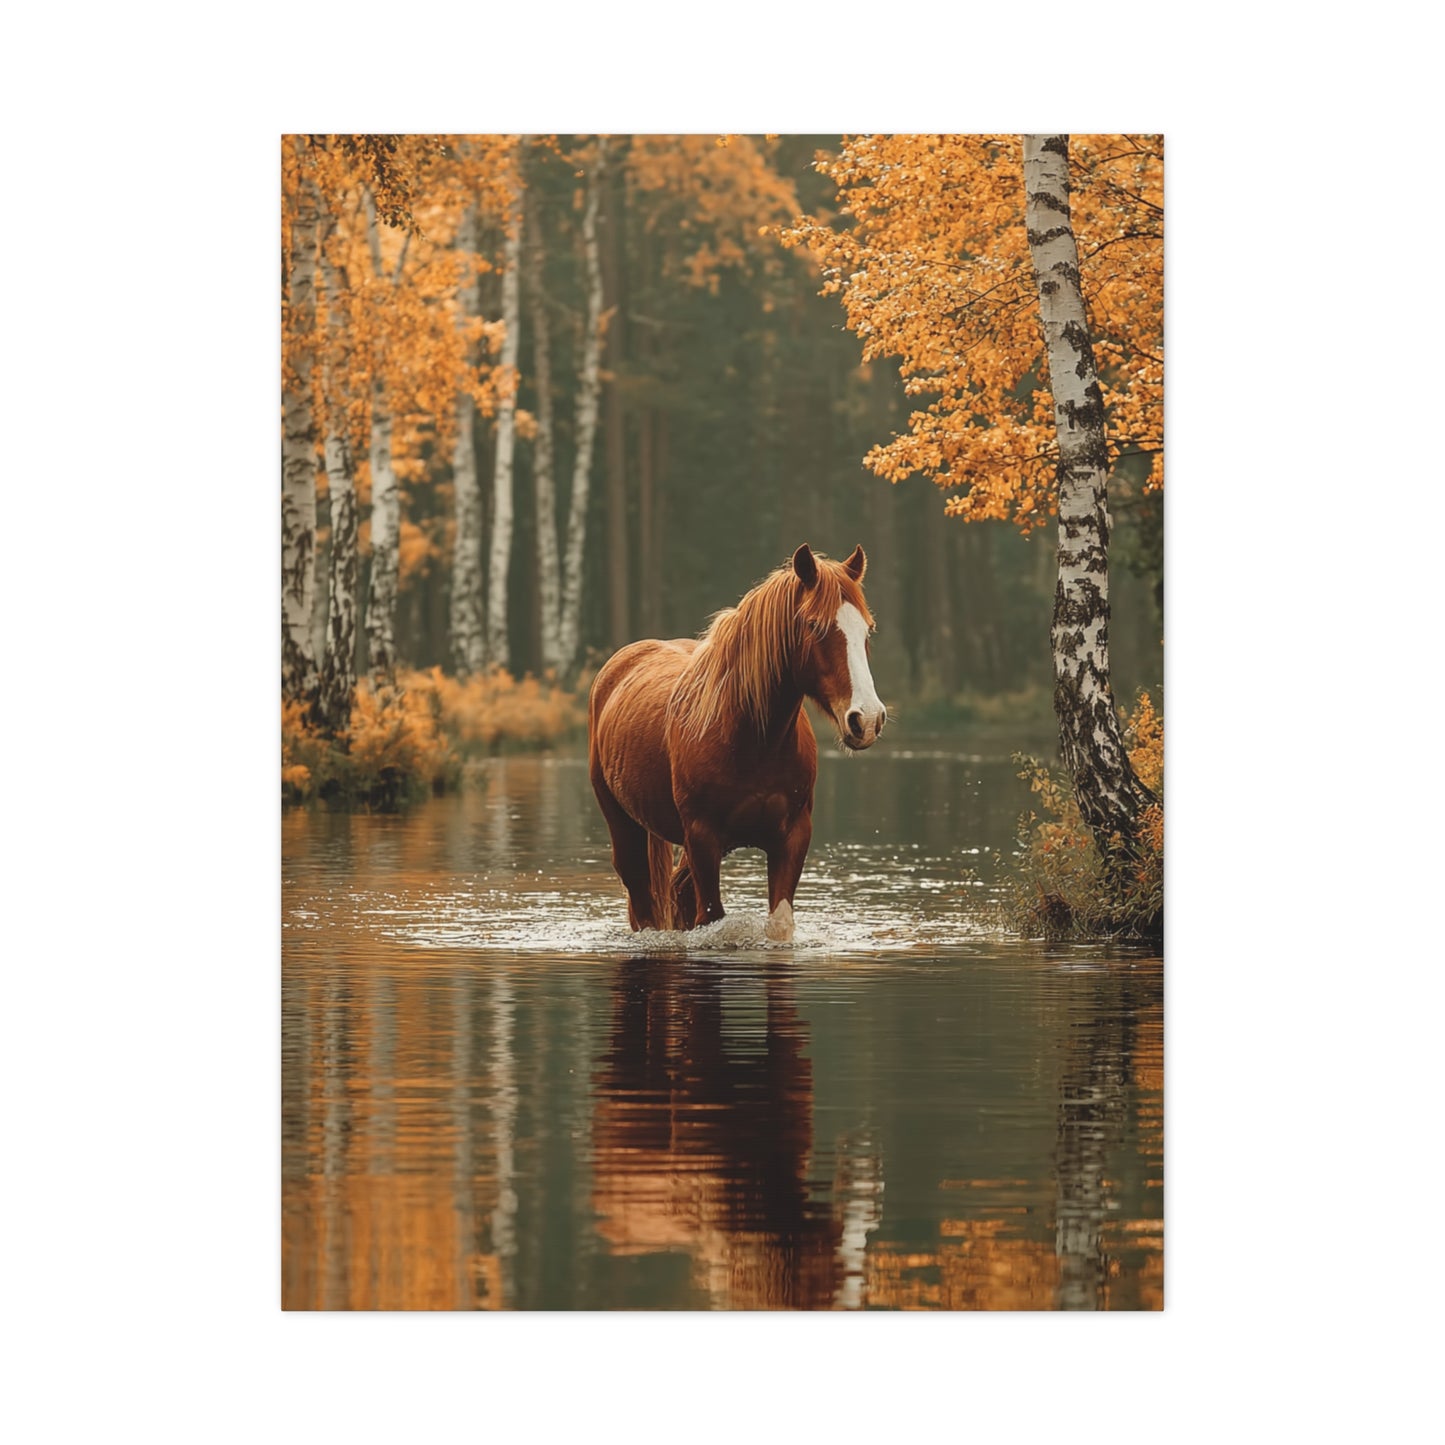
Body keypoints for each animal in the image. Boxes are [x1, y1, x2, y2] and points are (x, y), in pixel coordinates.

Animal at [588, 543, 887, 941]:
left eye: (867, 630)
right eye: (814, 625)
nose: (866, 719)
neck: (754, 742)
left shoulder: (793, 836)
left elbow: (779, 924)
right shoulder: (703, 838)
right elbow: (711, 918)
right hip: (624, 827)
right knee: (643, 904)